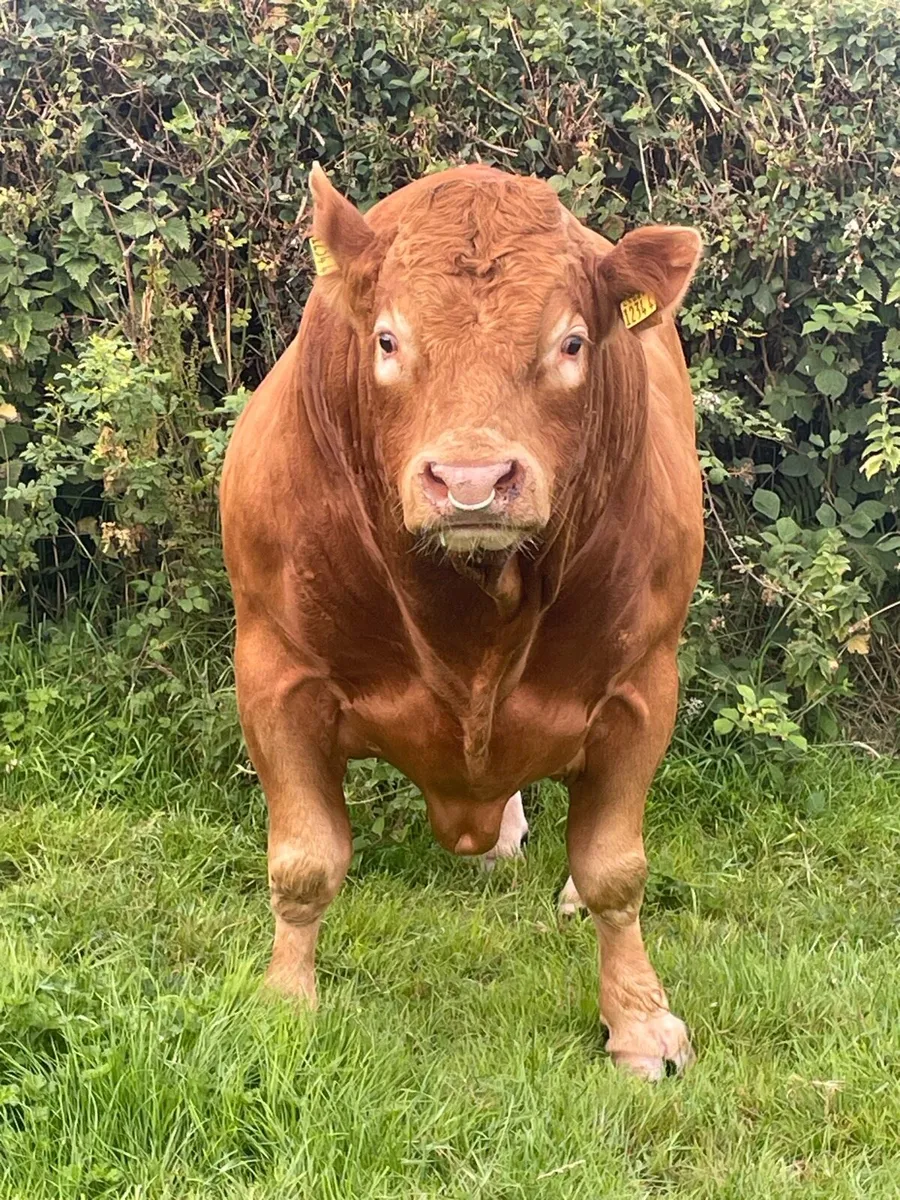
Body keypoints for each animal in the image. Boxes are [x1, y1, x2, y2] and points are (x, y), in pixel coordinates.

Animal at [220, 163, 704, 1080]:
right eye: (386, 340)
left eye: (572, 343)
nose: (473, 482)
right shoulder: (275, 672)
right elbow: (304, 862)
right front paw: (284, 1004)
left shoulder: (641, 685)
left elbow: (615, 869)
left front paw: (638, 1023)